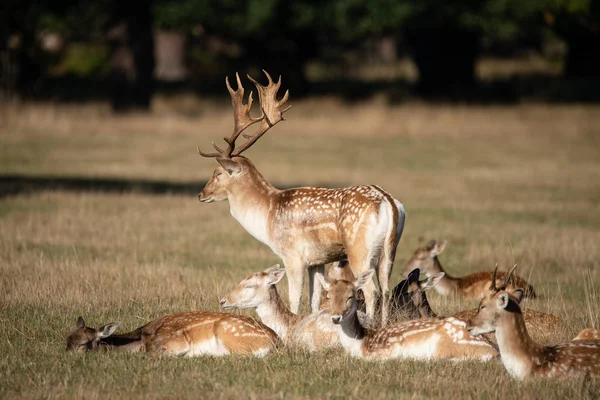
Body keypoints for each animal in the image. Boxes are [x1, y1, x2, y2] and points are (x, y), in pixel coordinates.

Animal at [198, 70, 408, 324]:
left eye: (218, 173)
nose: (201, 194)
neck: (267, 213)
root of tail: (389, 203)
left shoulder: (293, 255)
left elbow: (295, 298)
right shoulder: (316, 261)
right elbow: (314, 299)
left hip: (360, 249)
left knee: (371, 290)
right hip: (389, 249)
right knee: (386, 289)